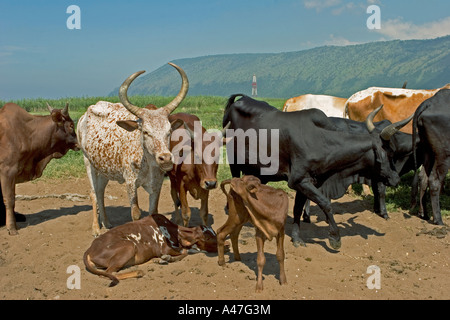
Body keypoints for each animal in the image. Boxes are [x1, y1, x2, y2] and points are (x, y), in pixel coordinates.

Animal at [77, 63, 188, 238]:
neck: (147, 162)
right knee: (94, 193)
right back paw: (96, 228)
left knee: (100, 192)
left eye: (169, 131)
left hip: (103, 168)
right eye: (145, 132)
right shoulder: (130, 182)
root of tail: (85, 115)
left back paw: (107, 223)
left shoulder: (156, 184)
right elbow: (135, 214)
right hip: (88, 162)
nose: (165, 158)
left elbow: (153, 211)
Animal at [85, 214, 220, 286]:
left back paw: (156, 261)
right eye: (207, 237)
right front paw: (168, 258)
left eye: (214, 232)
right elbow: (184, 252)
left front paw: (164, 259)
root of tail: (90, 249)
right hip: (129, 246)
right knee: (107, 273)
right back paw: (139, 272)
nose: (223, 244)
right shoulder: (164, 248)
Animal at [223, 95, 414, 250]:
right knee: (234, 183)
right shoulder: (299, 181)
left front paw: (296, 238)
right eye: (389, 154)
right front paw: (335, 238)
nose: (396, 179)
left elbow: (297, 210)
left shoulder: (307, 183)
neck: (322, 142)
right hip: (233, 160)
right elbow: (326, 203)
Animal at [412, 89, 450, 225]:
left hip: (428, 150)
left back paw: (424, 214)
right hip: (444, 154)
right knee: (434, 181)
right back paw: (438, 219)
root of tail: (431, 102)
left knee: (423, 177)